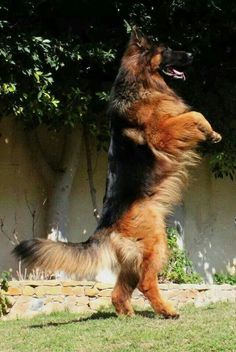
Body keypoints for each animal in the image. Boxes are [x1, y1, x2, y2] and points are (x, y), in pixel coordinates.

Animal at [13, 27, 221, 320]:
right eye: (166, 49)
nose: (192, 54)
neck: (142, 81)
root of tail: (105, 225)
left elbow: (195, 115)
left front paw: (213, 134)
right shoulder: (163, 134)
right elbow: (195, 114)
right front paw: (210, 132)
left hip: (134, 259)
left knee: (118, 291)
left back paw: (128, 315)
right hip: (156, 243)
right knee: (146, 283)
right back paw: (168, 311)